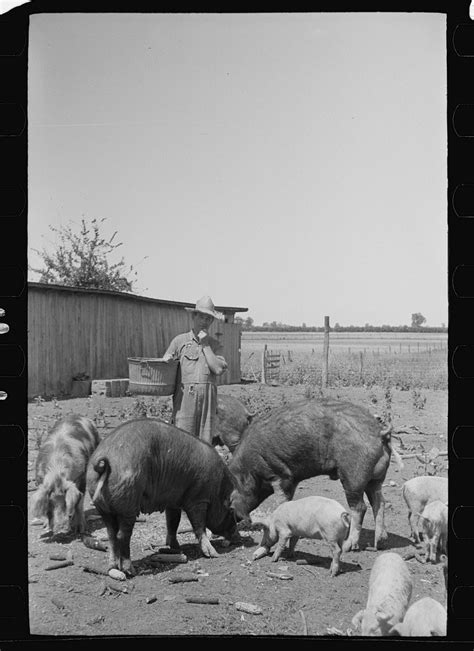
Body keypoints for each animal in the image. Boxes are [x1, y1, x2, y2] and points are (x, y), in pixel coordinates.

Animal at [86, 418, 241, 576]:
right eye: (231, 510)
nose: (239, 538)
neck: (217, 488)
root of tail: (106, 460)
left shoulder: (173, 501)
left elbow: (172, 522)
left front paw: (177, 548)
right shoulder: (198, 499)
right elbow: (199, 525)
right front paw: (214, 554)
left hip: (103, 507)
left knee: (111, 535)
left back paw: (113, 568)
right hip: (128, 503)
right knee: (122, 536)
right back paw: (131, 571)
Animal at [228, 400, 398, 552]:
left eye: (228, 501)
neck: (248, 471)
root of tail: (379, 433)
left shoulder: (279, 475)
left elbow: (280, 501)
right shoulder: (291, 480)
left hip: (353, 476)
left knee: (360, 507)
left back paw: (349, 546)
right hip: (375, 479)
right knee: (379, 502)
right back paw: (379, 543)